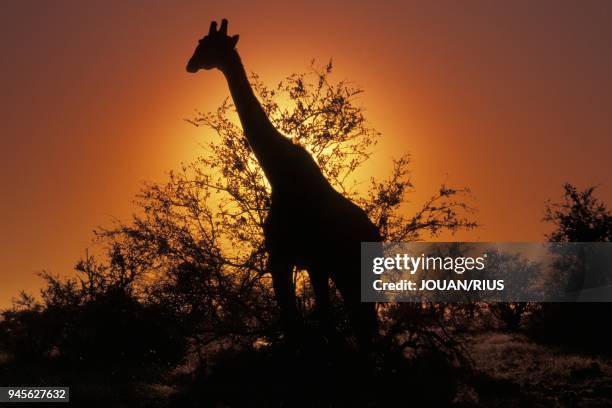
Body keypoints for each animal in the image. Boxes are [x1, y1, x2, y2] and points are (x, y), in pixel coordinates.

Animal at [184, 19, 380, 350]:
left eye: (207, 46)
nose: (190, 64)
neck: (279, 174)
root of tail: (377, 236)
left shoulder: (293, 259)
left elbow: (307, 326)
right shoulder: (297, 260)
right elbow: (305, 325)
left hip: (352, 270)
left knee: (367, 328)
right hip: (345, 272)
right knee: (364, 327)